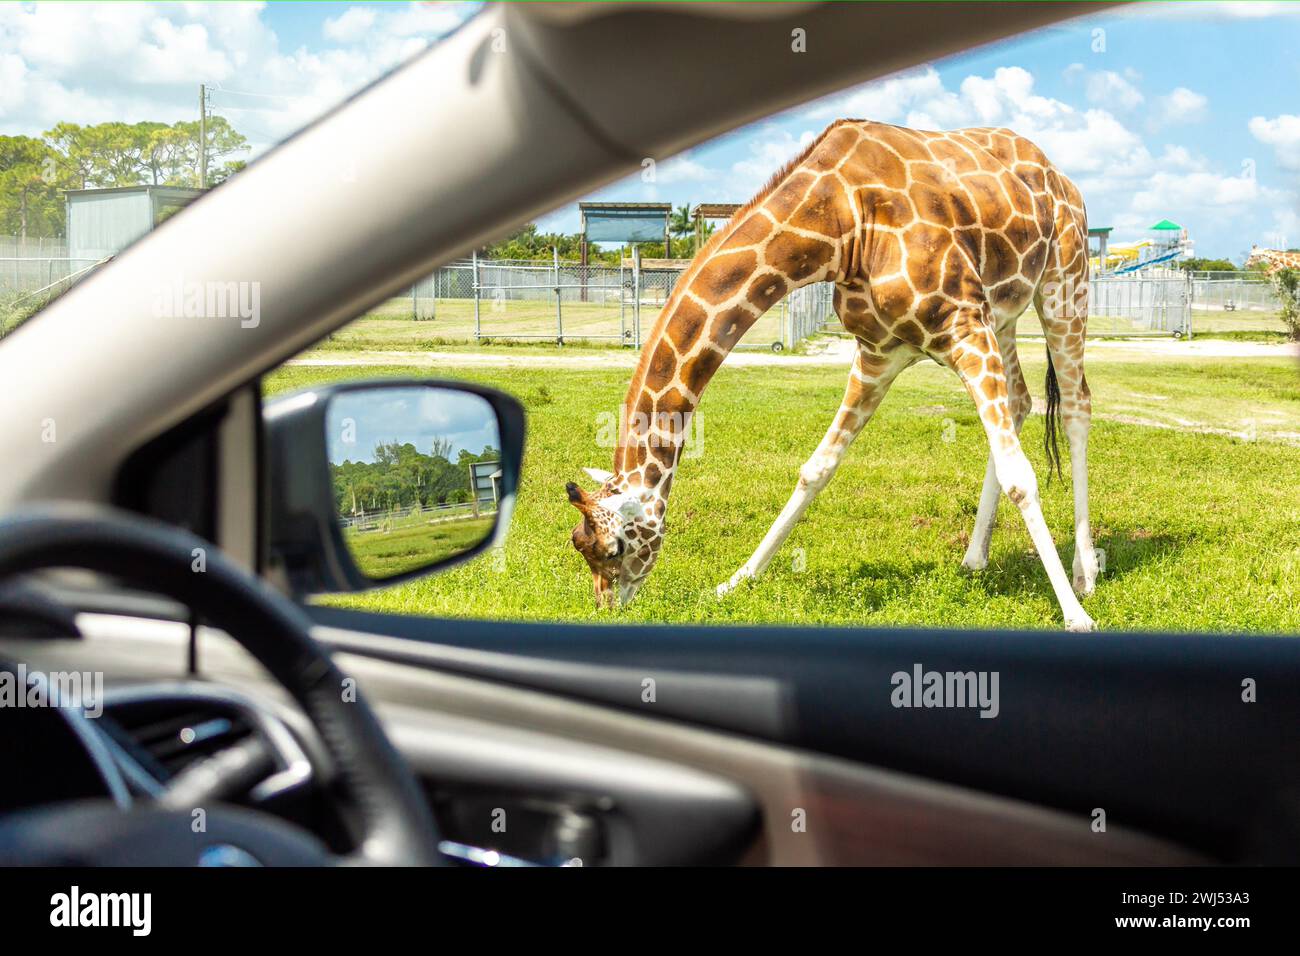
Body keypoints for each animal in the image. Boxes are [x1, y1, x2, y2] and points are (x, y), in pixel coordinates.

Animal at [566, 119, 1098, 630]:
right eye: (578, 544)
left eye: (613, 548)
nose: (609, 607)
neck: (840, 227)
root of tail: (1062, 178)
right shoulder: (878, 354)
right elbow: (815, 468)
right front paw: (735, 581)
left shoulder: (963, 326)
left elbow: (1020, 477)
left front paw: (1075, 616)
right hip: (1003, 312)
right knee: (1022, 400)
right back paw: (974, 556)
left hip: (1064, 282)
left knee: (1075, 404)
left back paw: (1085, 572)